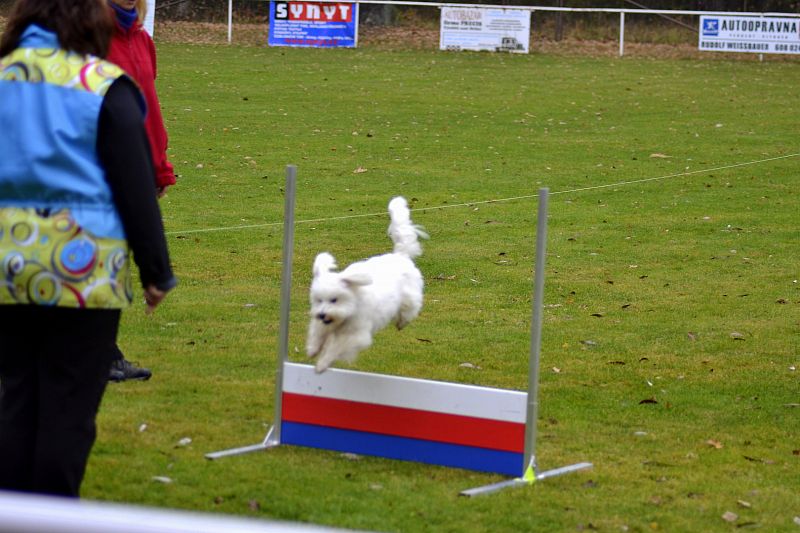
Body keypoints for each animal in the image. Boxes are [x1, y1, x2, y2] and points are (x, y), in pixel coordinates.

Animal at [308, 196, 432, 374]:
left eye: (334, 300)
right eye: (318, 300)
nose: (322, 314)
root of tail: (400, 255)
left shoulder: (356, 335)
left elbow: (336, 348)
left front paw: (322, 363)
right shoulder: (325, 323)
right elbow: (317, 331)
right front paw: (313, 348)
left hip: (409, 296)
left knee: (410, 309)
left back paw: (402, 322)